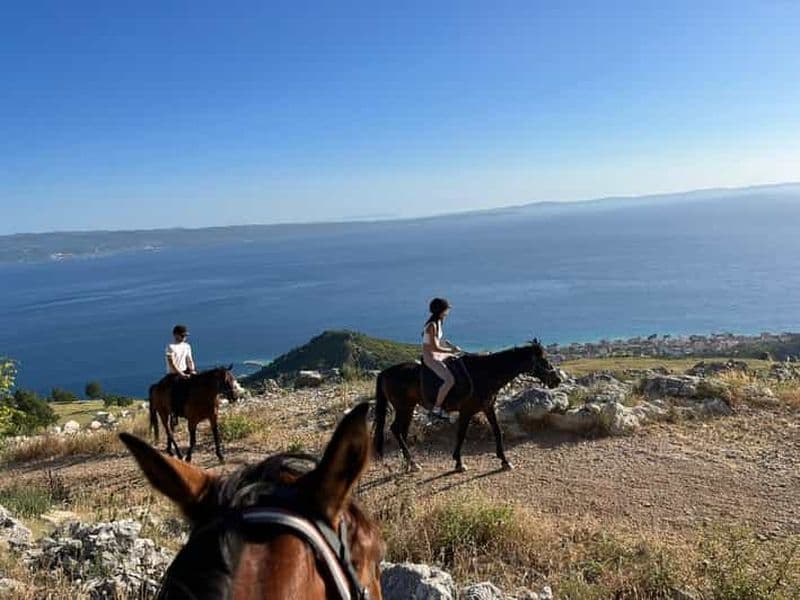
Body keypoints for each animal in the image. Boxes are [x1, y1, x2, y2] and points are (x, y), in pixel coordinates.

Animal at [373, 339, 561, 473]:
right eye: (544, 361)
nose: (557, 380)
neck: (484, 374)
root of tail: (385, 373)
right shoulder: (466, 411)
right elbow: (461, 435)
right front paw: (459, 463)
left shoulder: (488, 407)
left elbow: (497, 431)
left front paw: (504, 461)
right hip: (403, 408)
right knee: (396, 429)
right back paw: (412, 463)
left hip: (408, 408)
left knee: (401, 431)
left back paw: (408, 463)